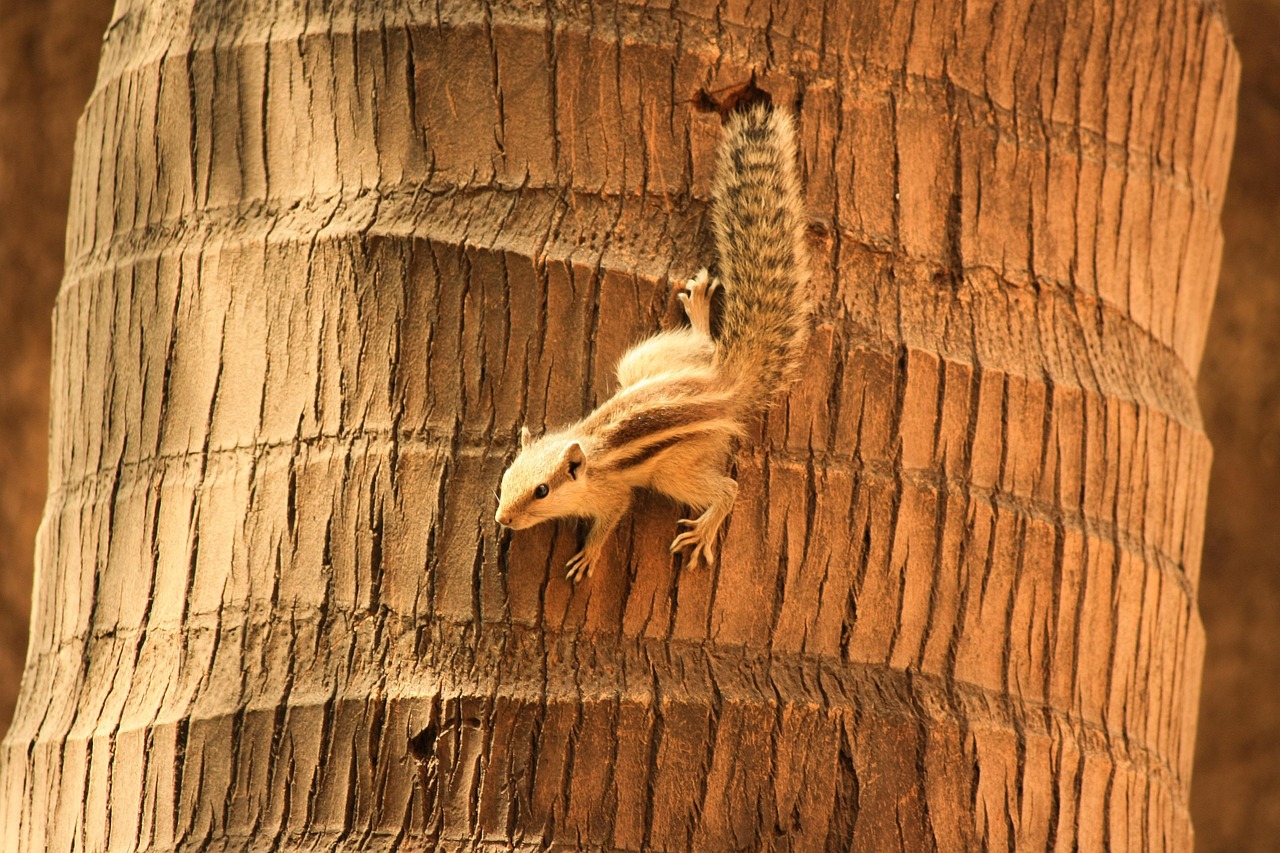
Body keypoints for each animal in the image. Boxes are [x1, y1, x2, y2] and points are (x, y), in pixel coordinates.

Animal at [495, 102, 811, 582]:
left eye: (542, 490)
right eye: (508, 475)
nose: (503, 519)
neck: (591, 455)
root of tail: (725, 387)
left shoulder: (611, 495)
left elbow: (610, 518)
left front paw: (589, 554)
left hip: (676, 469)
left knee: (728, 488)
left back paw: (704, 529)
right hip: (644, 363)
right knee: (702, 346)